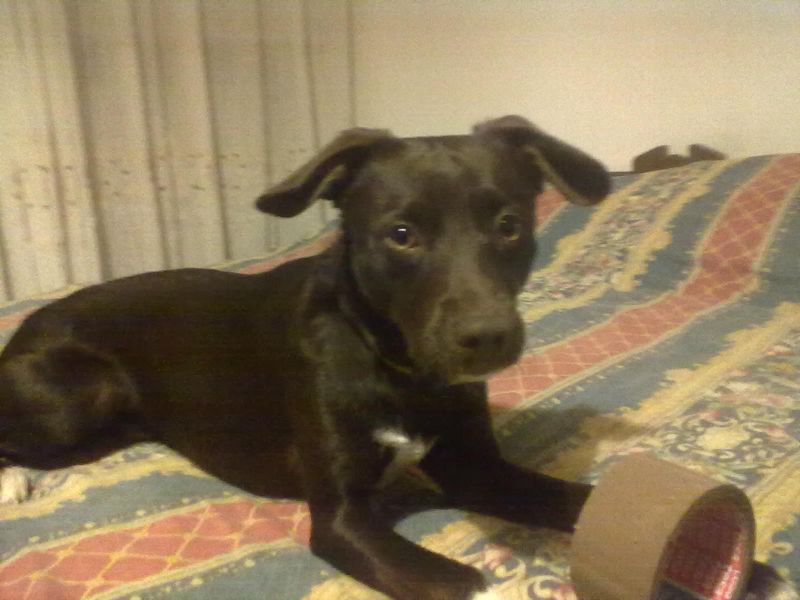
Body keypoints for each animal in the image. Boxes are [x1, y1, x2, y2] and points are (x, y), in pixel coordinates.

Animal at [0, 115, 610, 600]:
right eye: (401, 234)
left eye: (509, 227)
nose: (487, 337)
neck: (399, 371)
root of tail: (22, 331)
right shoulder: (342, 519)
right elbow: (460, 582)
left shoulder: (476, 470)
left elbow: (584, 503)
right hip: (80, 393)